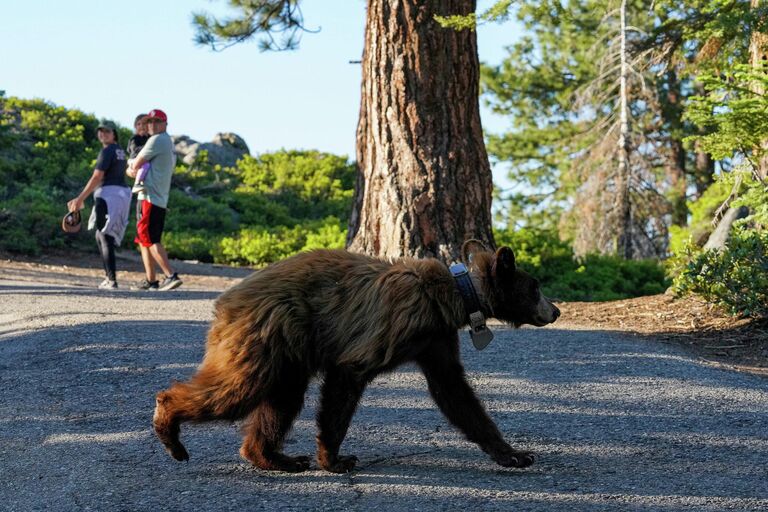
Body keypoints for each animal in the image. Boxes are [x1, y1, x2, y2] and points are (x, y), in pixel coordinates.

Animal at [153, 246, 560, 474]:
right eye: (535, 286)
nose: (555, 310)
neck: (458, 295)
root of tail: (225, 302)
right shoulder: (398, 325)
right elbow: (347, 378)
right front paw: (333, 459)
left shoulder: (435, 340)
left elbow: (454, 392)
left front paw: (514, 455)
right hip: (263, 338)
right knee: (235, 391)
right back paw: (168, 426)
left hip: (286, 354)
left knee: (281, 402)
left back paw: (274, 457)